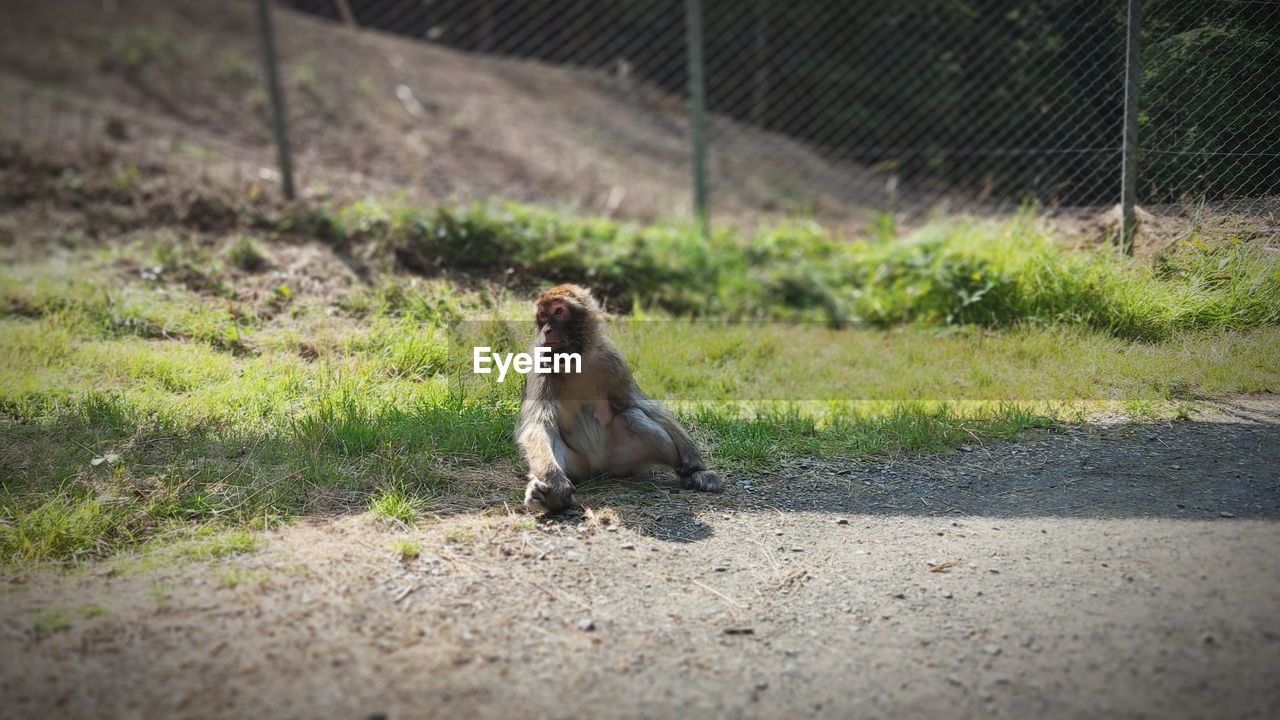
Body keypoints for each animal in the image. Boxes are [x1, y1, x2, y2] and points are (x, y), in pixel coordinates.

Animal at [517, 283, 721, 512]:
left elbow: (637, 402)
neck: (574, 359)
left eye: (558, 312)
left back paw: (688, 473)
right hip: (575, 463)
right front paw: (554, 482)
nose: (547, 330)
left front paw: (693, 458)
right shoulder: (540, 363)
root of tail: (597, 468)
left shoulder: (613, 360)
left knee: (633, 416)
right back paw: (544, 497)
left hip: (622, 459)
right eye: (543, 316)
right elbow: (538, 422)